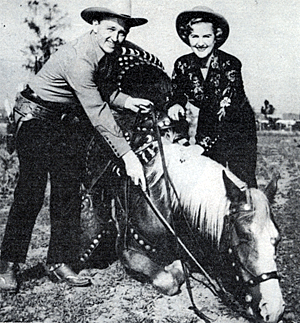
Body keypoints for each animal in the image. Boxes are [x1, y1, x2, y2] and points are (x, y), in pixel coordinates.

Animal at [78, 41, 284, 322]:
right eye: (243, 237)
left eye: (277, 239)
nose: (274, 310)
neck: (163, 197)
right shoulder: (129, 251)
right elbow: (168, 279)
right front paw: (176, 269)